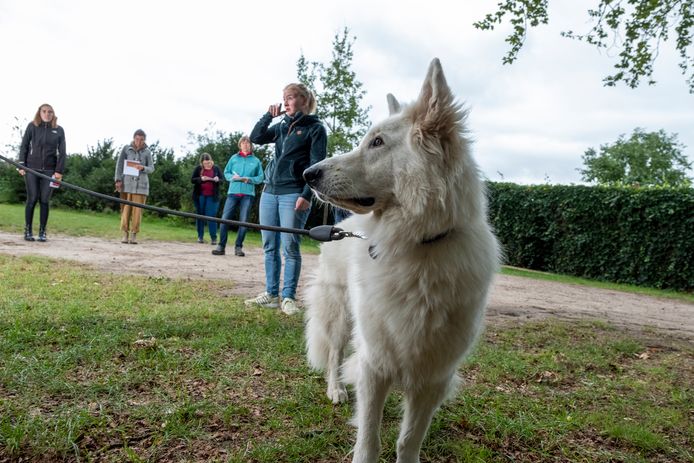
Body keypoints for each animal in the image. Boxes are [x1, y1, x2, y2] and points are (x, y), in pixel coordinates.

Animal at [304, 59, 500, 463]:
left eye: (377, 143)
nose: (307, 174)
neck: (414, 244)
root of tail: (339, 227)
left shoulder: (433, 376)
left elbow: (408, 439)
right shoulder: (373, 363)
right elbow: (369, 439)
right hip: (340, 315)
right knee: (333, 354)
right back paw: (335, 389)